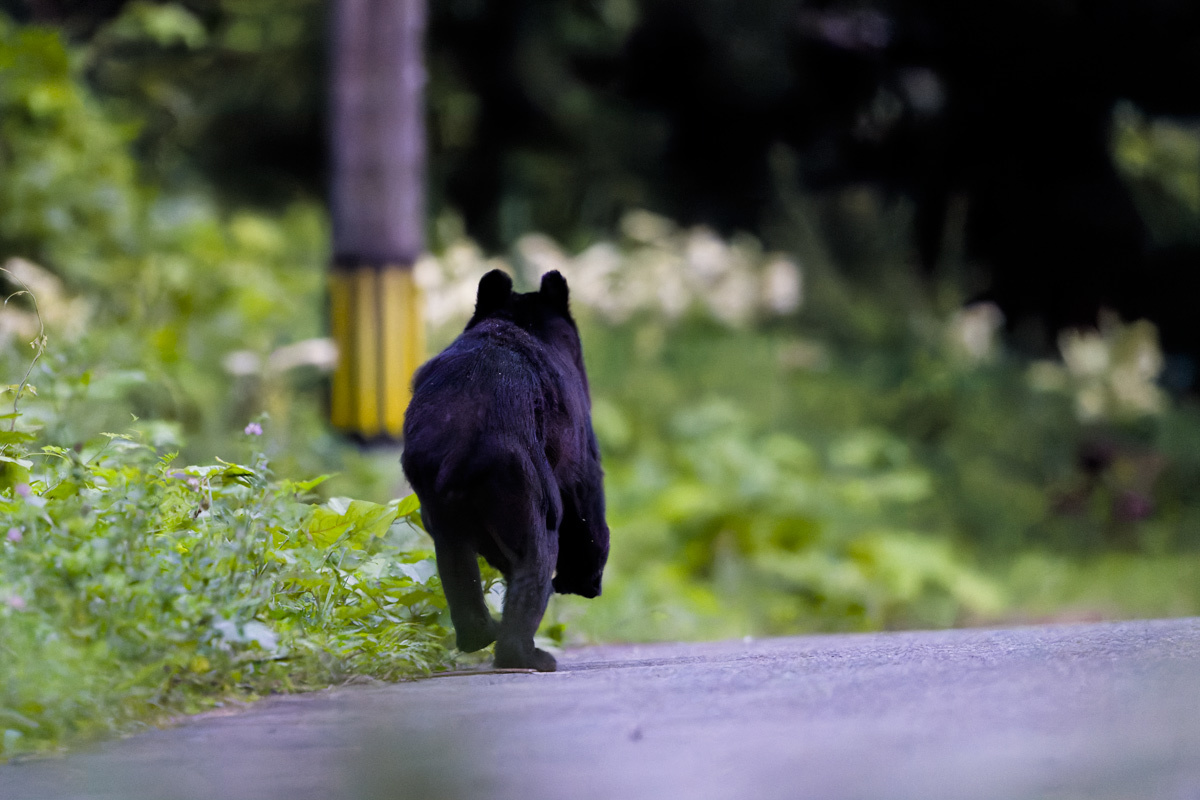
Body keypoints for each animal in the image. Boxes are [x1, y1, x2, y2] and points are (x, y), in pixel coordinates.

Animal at [400, 268, 609, 671]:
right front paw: (584, 581)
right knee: (532, 574)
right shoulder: (583, 460)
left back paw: (481, 636)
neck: (518, 321)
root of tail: (461, 445)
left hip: (442, 519)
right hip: (532, 504)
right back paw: (529, 655)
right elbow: (591, 522)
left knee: (461, 580)